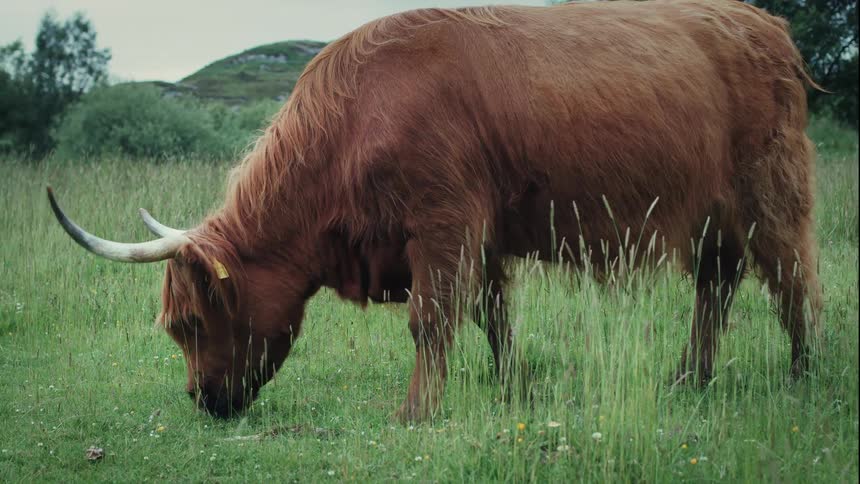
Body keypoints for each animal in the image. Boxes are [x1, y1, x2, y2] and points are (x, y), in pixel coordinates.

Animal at [48, 0, 822, 422]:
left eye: (185, 323)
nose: (201, 400)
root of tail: (762, 23)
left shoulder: (443, 222)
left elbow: (432, 320)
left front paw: (417, 410)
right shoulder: (478, 235)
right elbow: (491, 316)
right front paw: (515, 389)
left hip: (769, 190)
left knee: (793, 281)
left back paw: (803, 376)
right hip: (713, 215)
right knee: (716, 286)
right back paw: (690, 377)